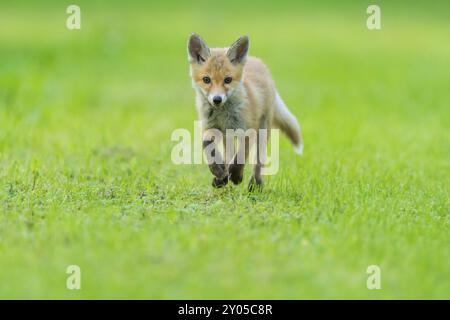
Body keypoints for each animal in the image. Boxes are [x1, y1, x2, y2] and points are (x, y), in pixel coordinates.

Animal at [186, 34, 302, 191]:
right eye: (206, 79)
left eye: (228, 80)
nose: (217, 99)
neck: (223, 115)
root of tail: (256, 61)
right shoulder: (209, 127)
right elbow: (208, 146)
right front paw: (219, 172)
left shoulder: (247, 131)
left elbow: (240, 157)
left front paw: (236, 176)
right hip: (228, 136)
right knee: (228, 154)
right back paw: (223, 177)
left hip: (263, 130)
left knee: (258, 162)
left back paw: (255, 185)